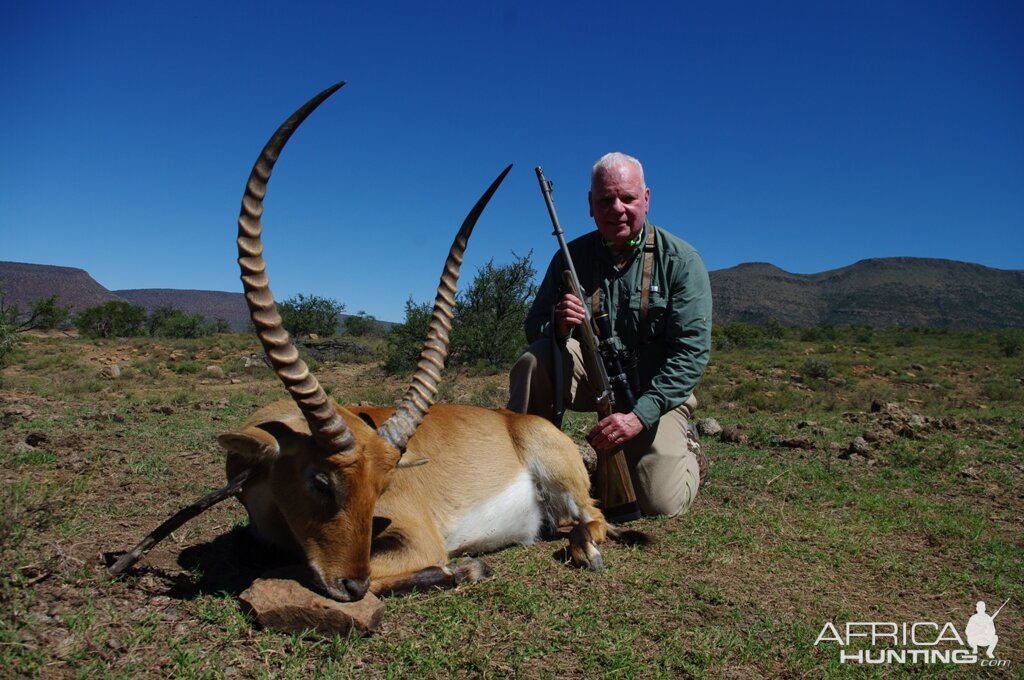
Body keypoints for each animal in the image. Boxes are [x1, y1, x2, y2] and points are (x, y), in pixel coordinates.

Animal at [110, 82, 638, 602]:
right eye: (320, 481)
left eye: (382, 488)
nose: (351, 582)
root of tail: (521, 422)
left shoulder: (415, 539)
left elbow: (300, 571)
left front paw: (466, 568)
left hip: (567, 485)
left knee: (594, 518)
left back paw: (584, 553)